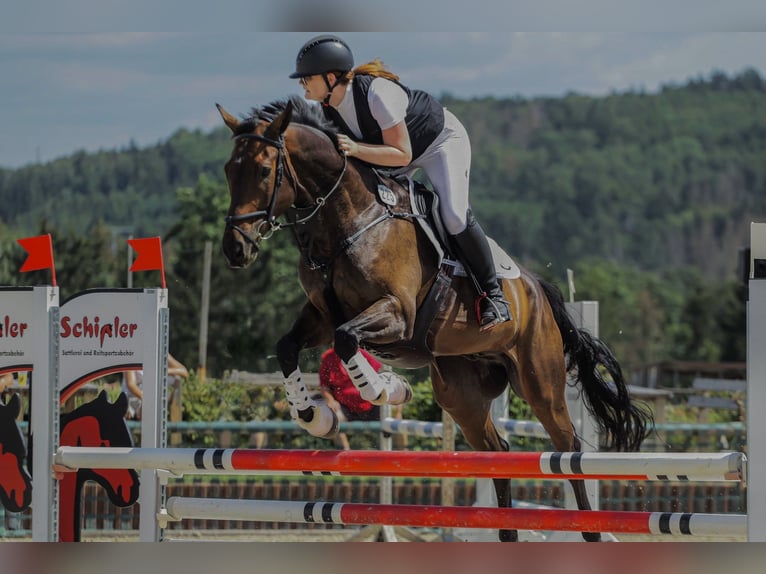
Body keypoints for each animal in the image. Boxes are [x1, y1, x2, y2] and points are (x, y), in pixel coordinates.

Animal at [216, 96, 653, 542]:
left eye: (264, 170)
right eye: (229, 170)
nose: (235, 249)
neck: (351, 220)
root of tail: (537, 290)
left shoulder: (397, 314)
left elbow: (346, 339)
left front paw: (387, 389)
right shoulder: (320, 315)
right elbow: (289, 346)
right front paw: (316, 417)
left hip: (540, 382)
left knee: (568, 449)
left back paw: (590, 532)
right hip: (461, 394)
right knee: (497, 453)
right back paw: (507, 534)